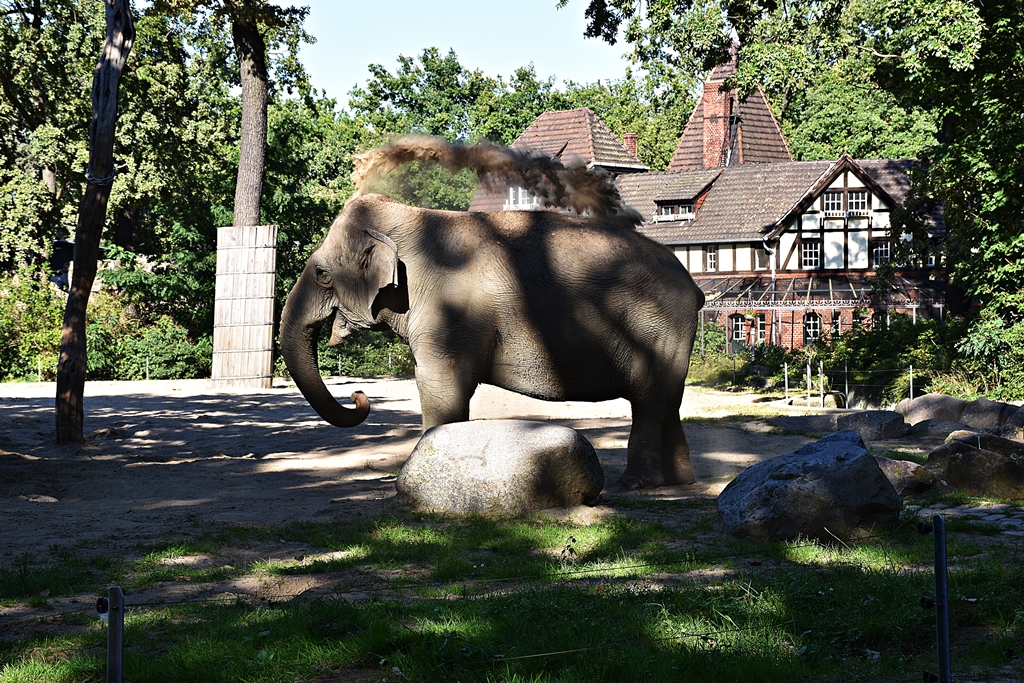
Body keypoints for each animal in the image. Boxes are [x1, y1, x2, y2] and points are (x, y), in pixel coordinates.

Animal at [280, 193, 705, 489]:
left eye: (321, 274)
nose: (358, 396)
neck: (406, 216)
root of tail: (692, 286)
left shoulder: (447, 318)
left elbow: (441, 389)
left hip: (655, 327)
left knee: (649, 400)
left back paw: (636, 485)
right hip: (670, 336)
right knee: (669, 399)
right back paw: (680, 482)